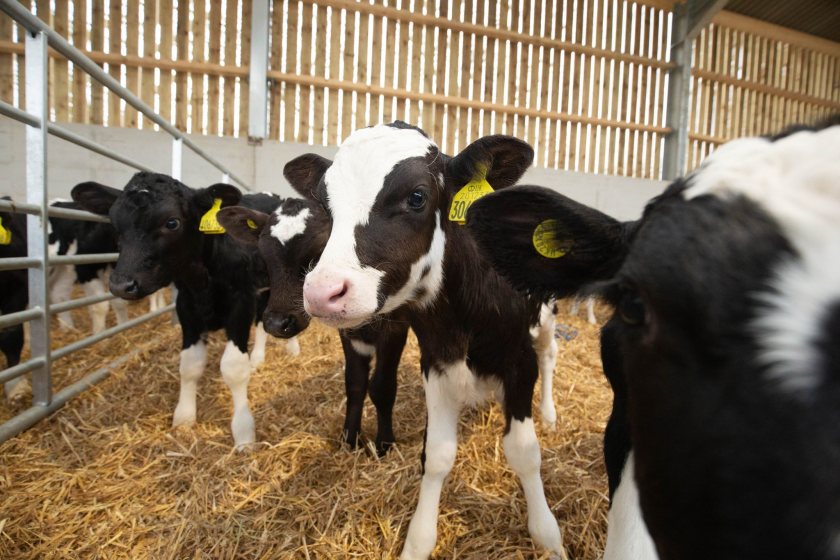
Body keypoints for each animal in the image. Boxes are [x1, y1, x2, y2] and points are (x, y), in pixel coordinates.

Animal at [72, 175, 296, 446]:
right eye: (114, 223)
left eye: (172, 222)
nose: (120, 284)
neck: (201, 283)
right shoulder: (187, 308)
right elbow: (190, 365)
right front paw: (184, 417)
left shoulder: (240, 303)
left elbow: (233, 368)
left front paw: (243, 432)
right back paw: (258, 358)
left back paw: (292, 349)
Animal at [220, 187, 410, 456]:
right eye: (264, 255)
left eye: (317, 251)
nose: (277, 322)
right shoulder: (347, 330)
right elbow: (354, 382)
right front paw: (349, 439)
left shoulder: (396, 327)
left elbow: (382, 386)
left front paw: (384, 445)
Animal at [288, 123, 564, 560]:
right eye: (326, 204)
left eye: (416, 196)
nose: (322, 291)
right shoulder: (435, 360)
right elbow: (436, 455)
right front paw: (418, 541)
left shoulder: (519, 362)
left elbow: (524, 452)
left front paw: (548, 536)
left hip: (548, 314)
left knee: (551, 354)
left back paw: (550, 413)